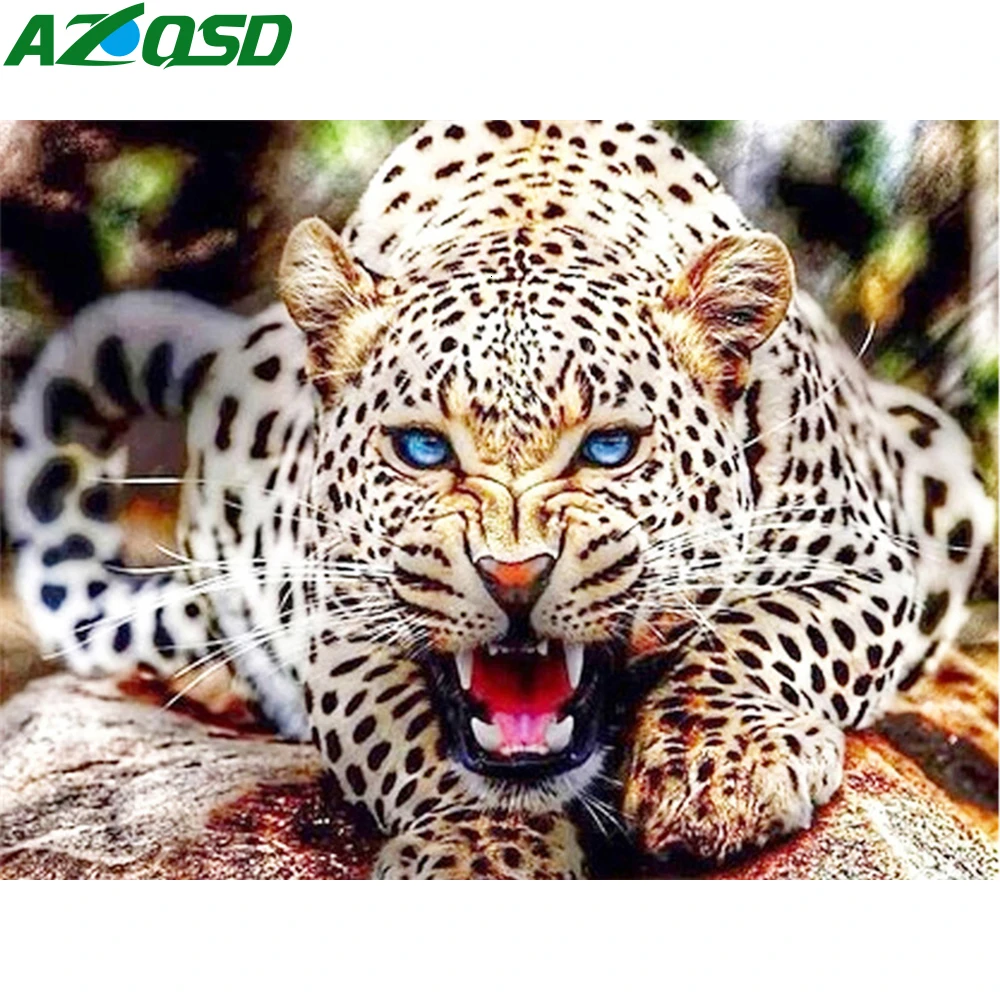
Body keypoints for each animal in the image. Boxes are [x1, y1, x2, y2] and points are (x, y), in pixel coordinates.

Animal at [5, 120, 994, 878]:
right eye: (421, 448)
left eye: (608, 448)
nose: (514, 576)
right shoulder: (332, 615)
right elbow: (414, 735)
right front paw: (482, 850)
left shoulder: (867, 553)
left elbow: (767, 635)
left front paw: (722, 771)